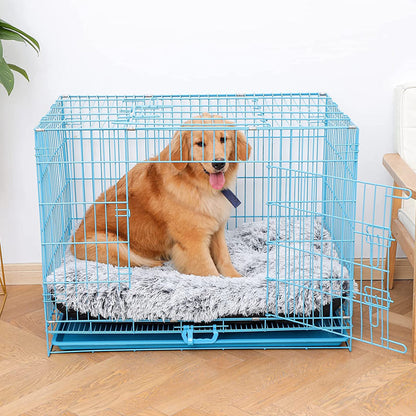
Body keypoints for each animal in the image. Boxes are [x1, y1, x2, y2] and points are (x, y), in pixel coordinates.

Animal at [71, 112, 250, 278]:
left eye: (223, 139)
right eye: (200, 143)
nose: (219, 163)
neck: (198, 185)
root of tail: (71, 241)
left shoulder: (217, 230)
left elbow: (224, 258)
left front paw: (236, 278)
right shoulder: (193, 242)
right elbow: (210, 272)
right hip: (111, 243)